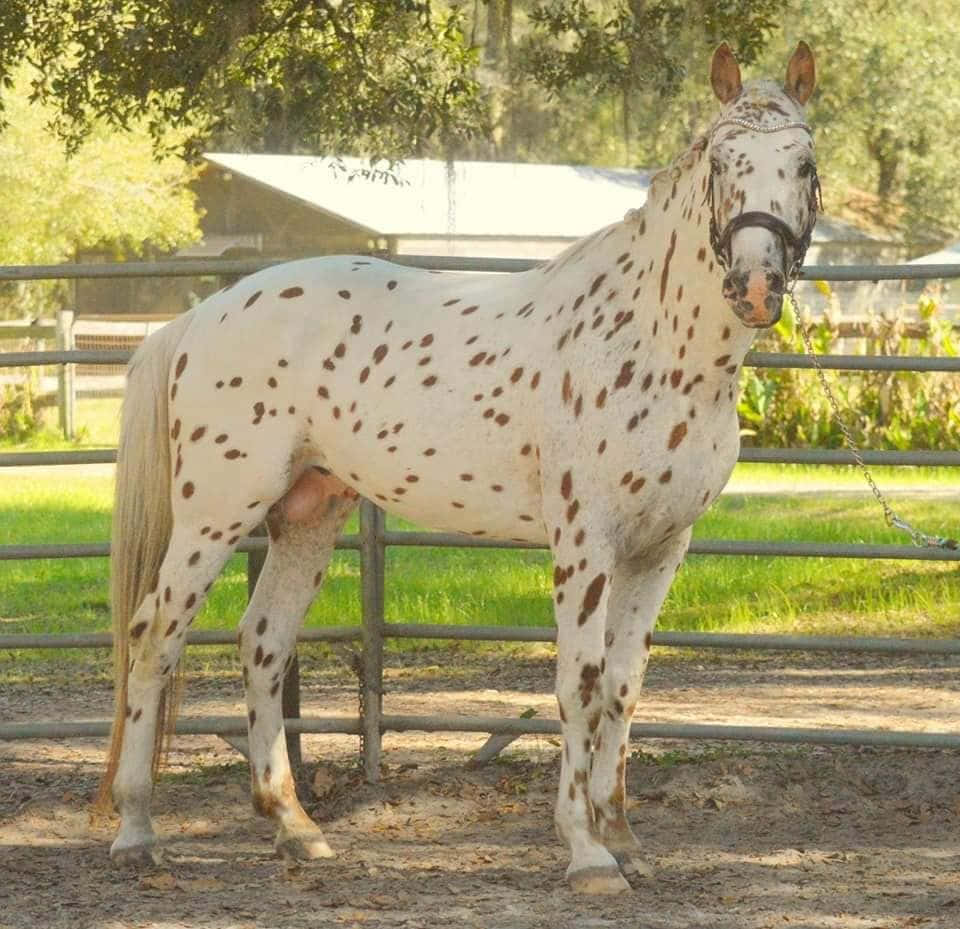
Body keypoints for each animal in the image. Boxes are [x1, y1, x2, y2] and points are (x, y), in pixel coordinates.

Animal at [96, 41, 819, 894]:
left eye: (804, 162)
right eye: (722, 159)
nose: (755, 284)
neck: (653, 340)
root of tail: (199, 316)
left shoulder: (661, 547)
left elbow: (623, 685)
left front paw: (624, 837)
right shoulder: (587, 545)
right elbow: (578, 683)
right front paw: (586, 851)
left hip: (307, 518)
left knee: (264, 641)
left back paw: (296, 828)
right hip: (214, 516)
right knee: (155, 636)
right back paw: (137, 832)